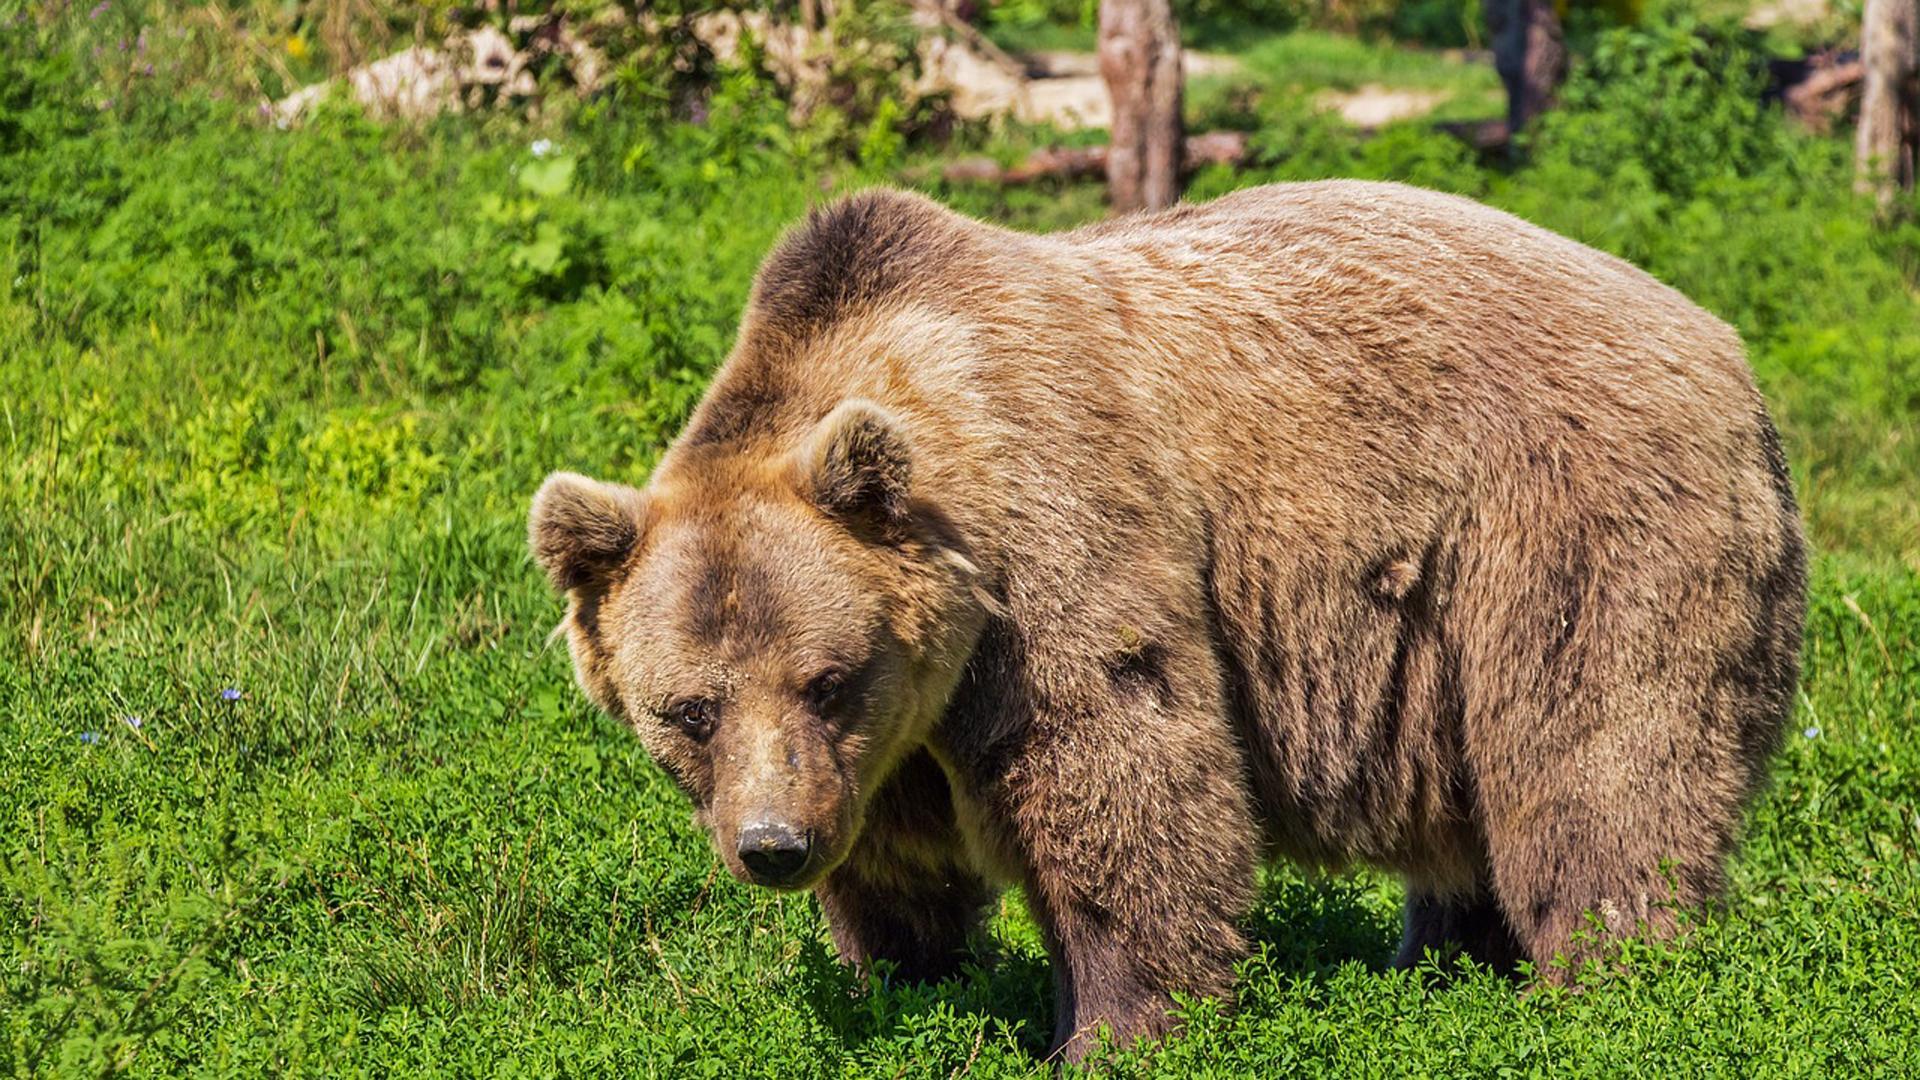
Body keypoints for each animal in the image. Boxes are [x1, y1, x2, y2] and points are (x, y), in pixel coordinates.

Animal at [529, 182, 1806, 1061]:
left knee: (1597, 765)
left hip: (1567, 530)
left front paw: (1113, 1031)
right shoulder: (888, 741)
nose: (773, 847)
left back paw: (1611, 982)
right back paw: (1444, 969)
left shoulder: (1053, 554)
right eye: (688, 710)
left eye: (826, 677)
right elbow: (898, 869)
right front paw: (910, 982)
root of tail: (1727, 348)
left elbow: (1122, 779)